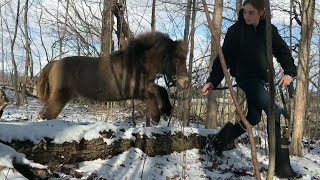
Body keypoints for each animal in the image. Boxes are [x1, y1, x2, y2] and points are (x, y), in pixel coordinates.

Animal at [37, 31, 190, 124]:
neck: (137, 64)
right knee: (46, 115)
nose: (185, 83)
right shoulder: (135, 91)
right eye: (176, 59)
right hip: (60, 97)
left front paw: (167, 110)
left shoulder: (146, 84)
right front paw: (156, 116)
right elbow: (151, 96)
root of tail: (54, 63)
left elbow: (161, 90)